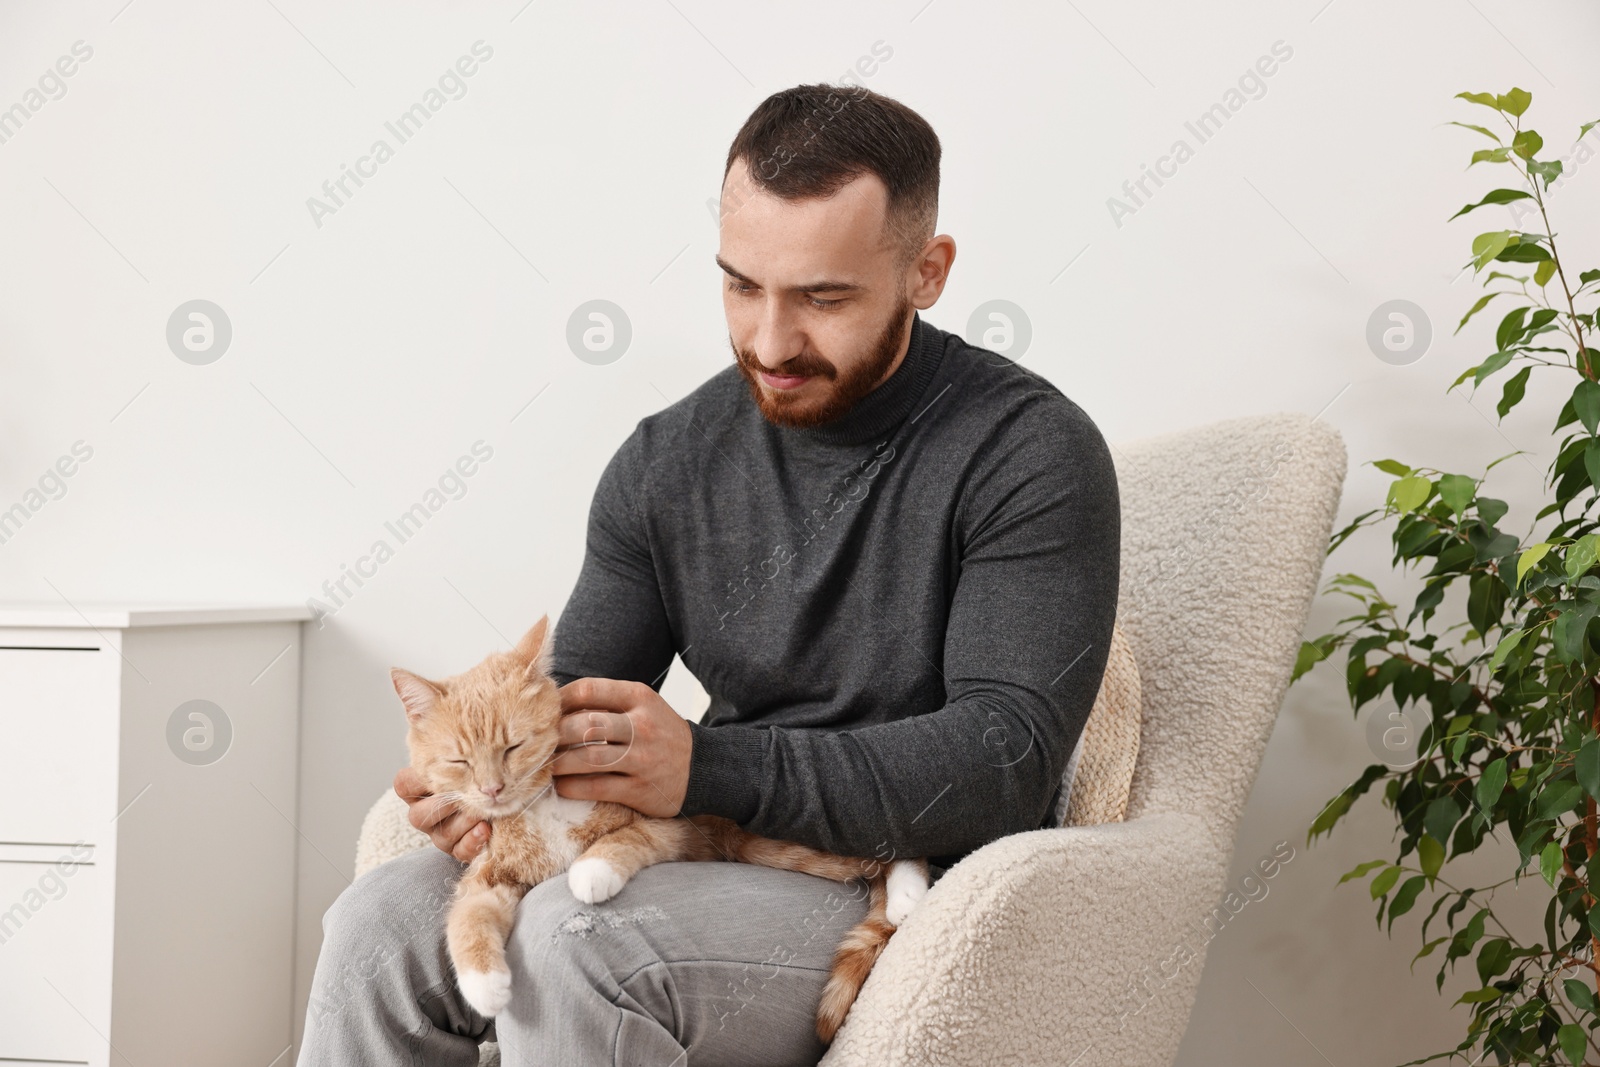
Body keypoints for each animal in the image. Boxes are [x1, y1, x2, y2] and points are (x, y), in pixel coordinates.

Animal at [392, 617, 934, 1043]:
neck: (540, 806)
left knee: (897, 844)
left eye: (513, 747)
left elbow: (620, 841)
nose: (492, 789)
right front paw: (485, 986)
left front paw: (589, 873)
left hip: (781, 839)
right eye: (459, 762)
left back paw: (908, 894)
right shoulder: (489, 872)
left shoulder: (666, 825)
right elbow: (467, 917)